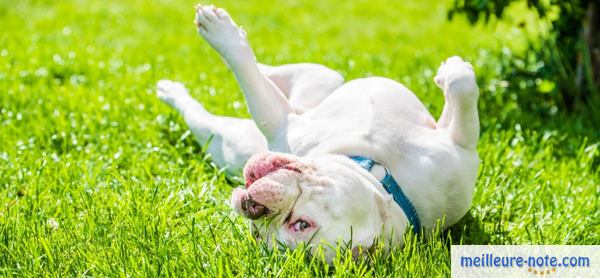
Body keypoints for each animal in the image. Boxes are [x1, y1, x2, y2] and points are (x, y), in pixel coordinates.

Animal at [157, 4, 480, 260]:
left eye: (301, 225)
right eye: (257, 233)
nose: (253, 208)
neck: (382, 171)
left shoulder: (281, 122)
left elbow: (257, 96)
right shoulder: (457, 147)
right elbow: (462, 87)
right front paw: (453, 70)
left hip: (231, 141)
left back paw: (172, 88)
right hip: (320, 84)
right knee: (283, 74)